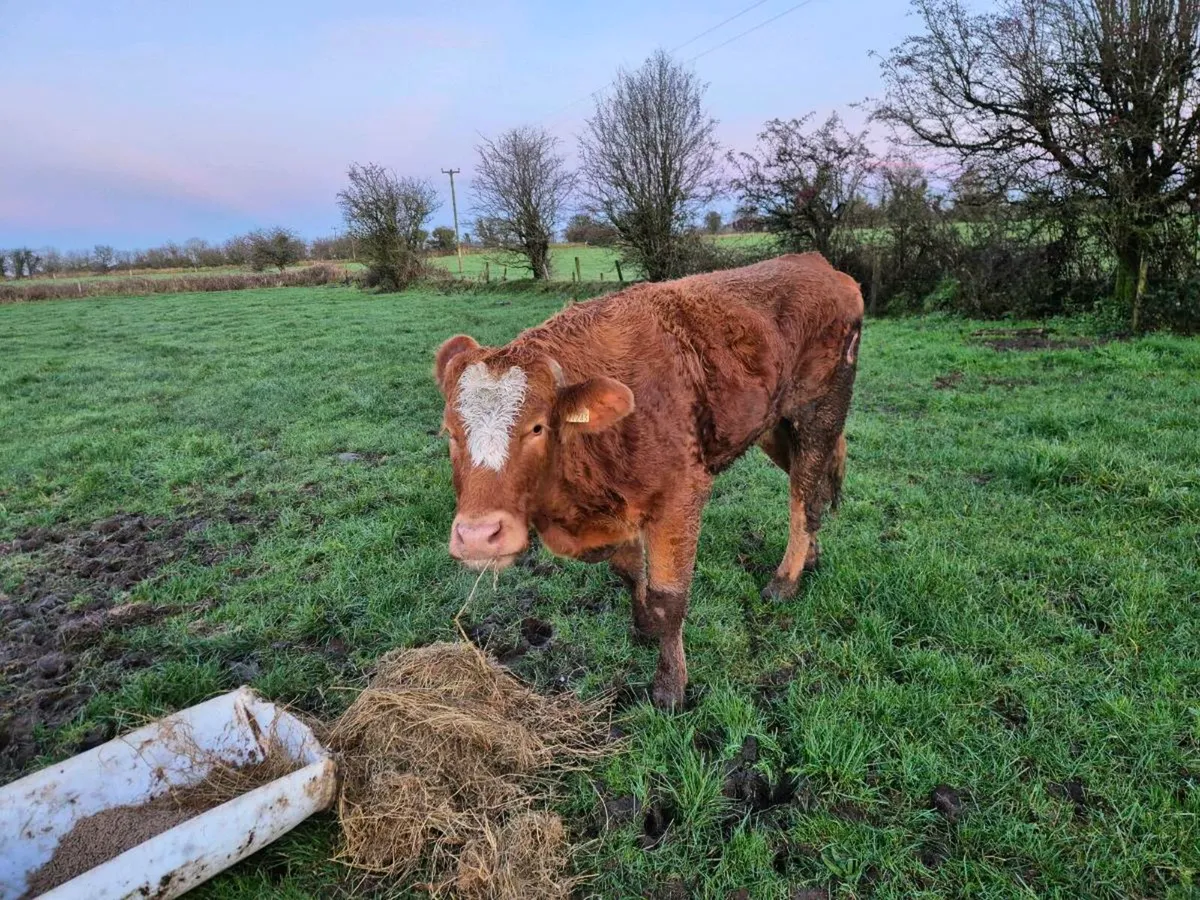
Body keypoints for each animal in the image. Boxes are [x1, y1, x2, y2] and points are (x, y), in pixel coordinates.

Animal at [433, 253, 863, 710]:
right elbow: (628, 573)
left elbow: (668, 599)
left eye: (536, 428)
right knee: (812, 491)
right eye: (449, 433)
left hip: (819, 416)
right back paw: (811, 558)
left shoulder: (679, 500)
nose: (478, 536)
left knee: (803, 499)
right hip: (775, 427)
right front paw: (642, 627)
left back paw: (785, 581)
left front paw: (670, 686)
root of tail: (815, 262)